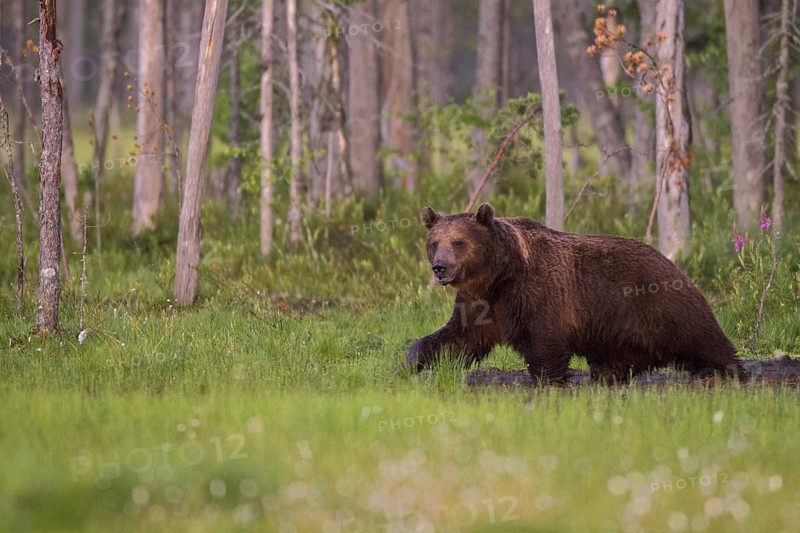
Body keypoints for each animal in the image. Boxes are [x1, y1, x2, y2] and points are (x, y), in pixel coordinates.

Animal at [401, 203, 748, 383]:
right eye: (434, 241)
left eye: (458, 242)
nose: (440, 267)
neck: (496, 277)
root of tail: (673, 263)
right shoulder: (479, 304)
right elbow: (458, 338)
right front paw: (409, 362)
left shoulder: (534, 293)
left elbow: (544, 342)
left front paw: (547, 381)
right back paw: (608, 372)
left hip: (660, 302)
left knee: (702, 338)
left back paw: (728, 371)